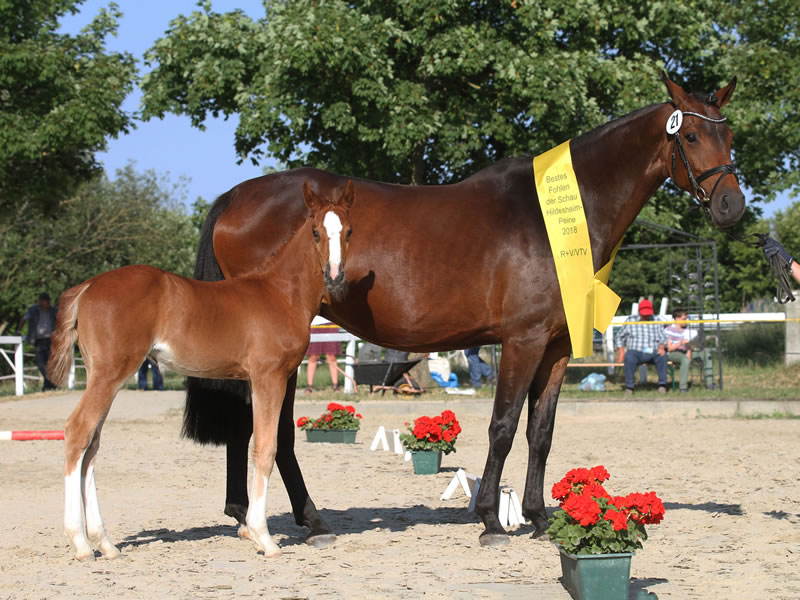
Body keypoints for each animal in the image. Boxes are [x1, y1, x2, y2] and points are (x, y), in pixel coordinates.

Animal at [46, 180, 354, 560]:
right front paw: (265, 539)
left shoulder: (256, 381)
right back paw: (80, 543)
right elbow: (265, 448)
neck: (279, 292)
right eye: (315, 232)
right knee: (78, 432)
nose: (335, 276)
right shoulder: (269, 377)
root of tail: (87, 286)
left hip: (102, 376)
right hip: (110, 374)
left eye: (348, 231)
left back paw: (104, 542)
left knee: (92, 444)